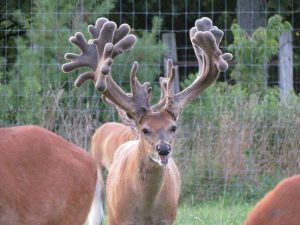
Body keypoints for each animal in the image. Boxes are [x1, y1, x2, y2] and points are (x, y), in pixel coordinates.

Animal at [62, 17, 232, 225]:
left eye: (173, 127)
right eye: (145, 129)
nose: (163, 149)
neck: (146, 209)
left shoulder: (167, 219)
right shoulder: (120, 218)